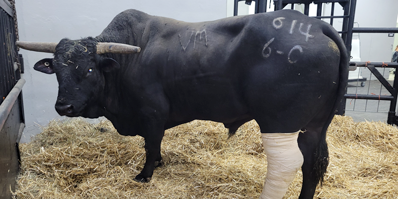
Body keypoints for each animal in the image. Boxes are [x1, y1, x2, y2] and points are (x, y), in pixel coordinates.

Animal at [18, 9, 348, 199]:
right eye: (57, 71)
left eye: (88, 70)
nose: (64, 107)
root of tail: (316, 25)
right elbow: (156, 146)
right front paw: (159, 163)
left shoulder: (152, 113)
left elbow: (151, 145)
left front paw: (145, 174)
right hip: (314, 126)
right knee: (312, 165)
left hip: (279, 121)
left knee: (286, 163)